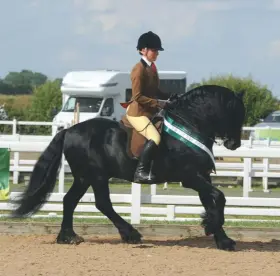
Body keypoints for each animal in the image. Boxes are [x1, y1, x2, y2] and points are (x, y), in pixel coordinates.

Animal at [12, 84, 246, 250]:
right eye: (235, 112)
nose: (234, 144)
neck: (190, 124)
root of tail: (69, 131)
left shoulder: (202, 176)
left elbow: (212, 201)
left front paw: (222, 238)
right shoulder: (190, 176)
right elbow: (219, 197)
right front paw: (212, 228)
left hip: (84, 177)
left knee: (70, 200)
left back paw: (67, 237)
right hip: (96, 176)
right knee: (102, 203)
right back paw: (130, 234)